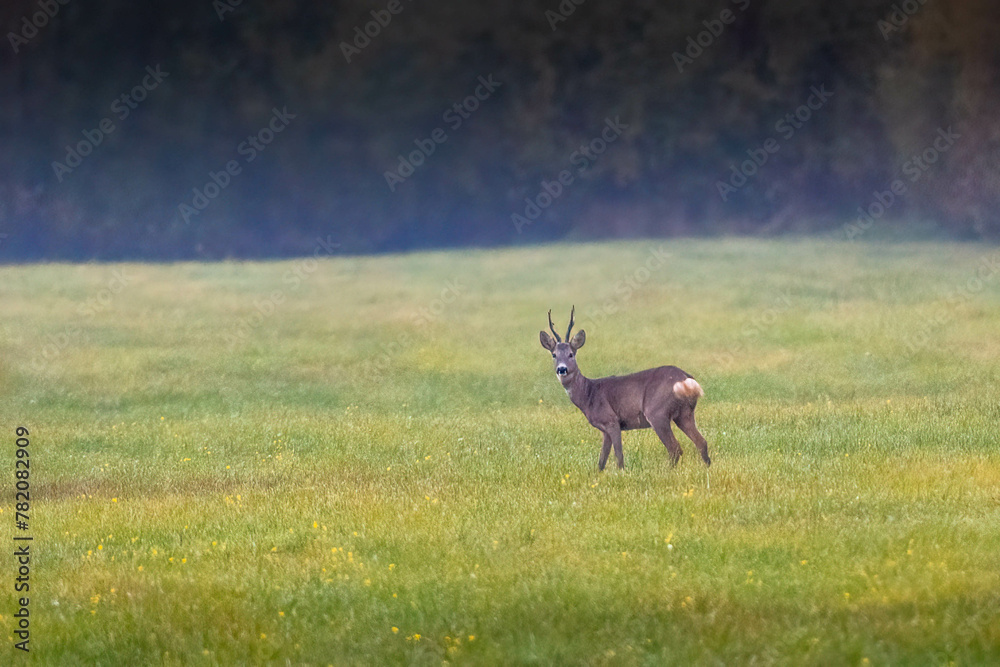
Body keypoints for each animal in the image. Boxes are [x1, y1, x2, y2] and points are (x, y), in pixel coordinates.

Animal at [539, 307, 710, 471]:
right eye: (554, 355)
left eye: (571, 354)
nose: (562, 369)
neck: (589, 394)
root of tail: (686, 378)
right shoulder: (604, 430)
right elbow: (601, 461)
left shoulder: (612, 421)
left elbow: (618, 455)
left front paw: (621, 473)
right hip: (684, 413)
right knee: (701, 442)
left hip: (657, 412)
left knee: (675, 448)